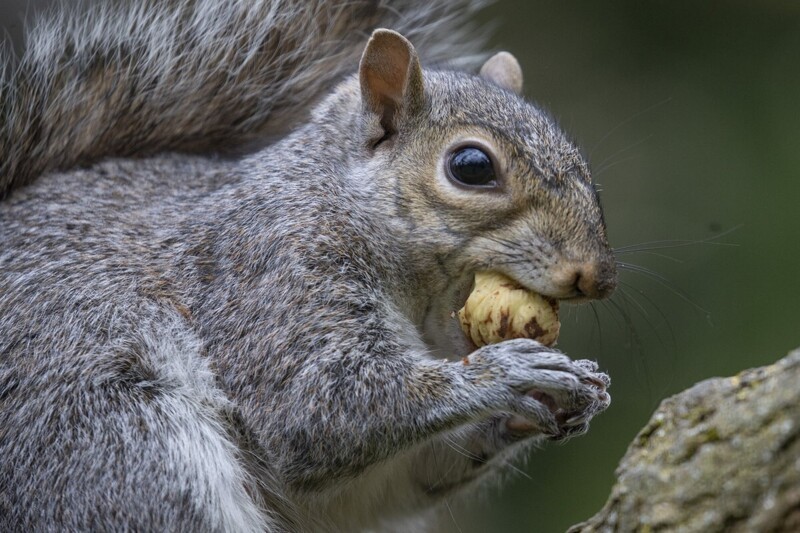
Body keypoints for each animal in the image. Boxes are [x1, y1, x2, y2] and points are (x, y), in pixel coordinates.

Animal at [0, 2, 620, 528]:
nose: (597, 276)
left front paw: (556, 398)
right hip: (115, 437)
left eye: (582, 163)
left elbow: (398, 479)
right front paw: (509, 372)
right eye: (471, 166)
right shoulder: (272, 277)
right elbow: (316, 408)